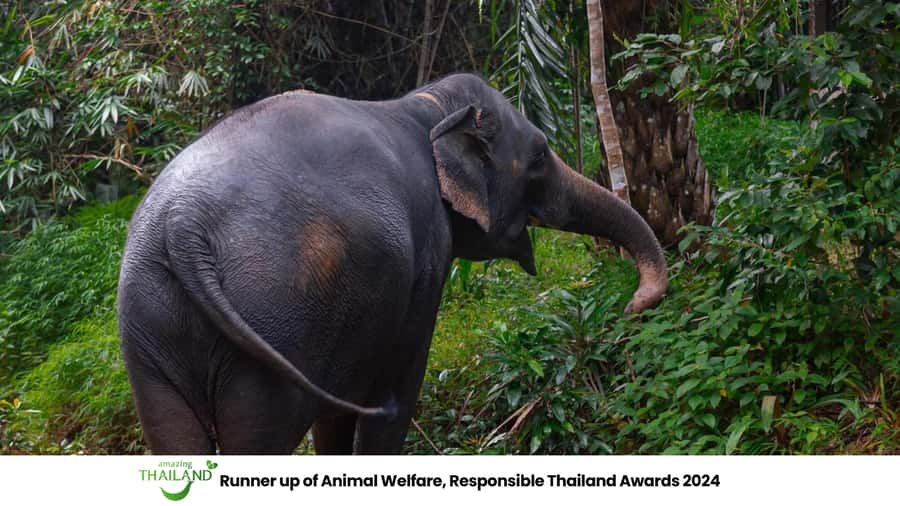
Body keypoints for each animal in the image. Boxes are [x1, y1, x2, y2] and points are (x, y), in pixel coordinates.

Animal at [117, 73, 667, 455]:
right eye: (538, 155)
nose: (632, 306)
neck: (424, 104)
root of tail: (183, 223)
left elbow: (334, 418)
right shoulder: (425, 259)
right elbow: (396, 393)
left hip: (151, 323)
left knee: (173, 436)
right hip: (272, 316)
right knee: (257, 438)